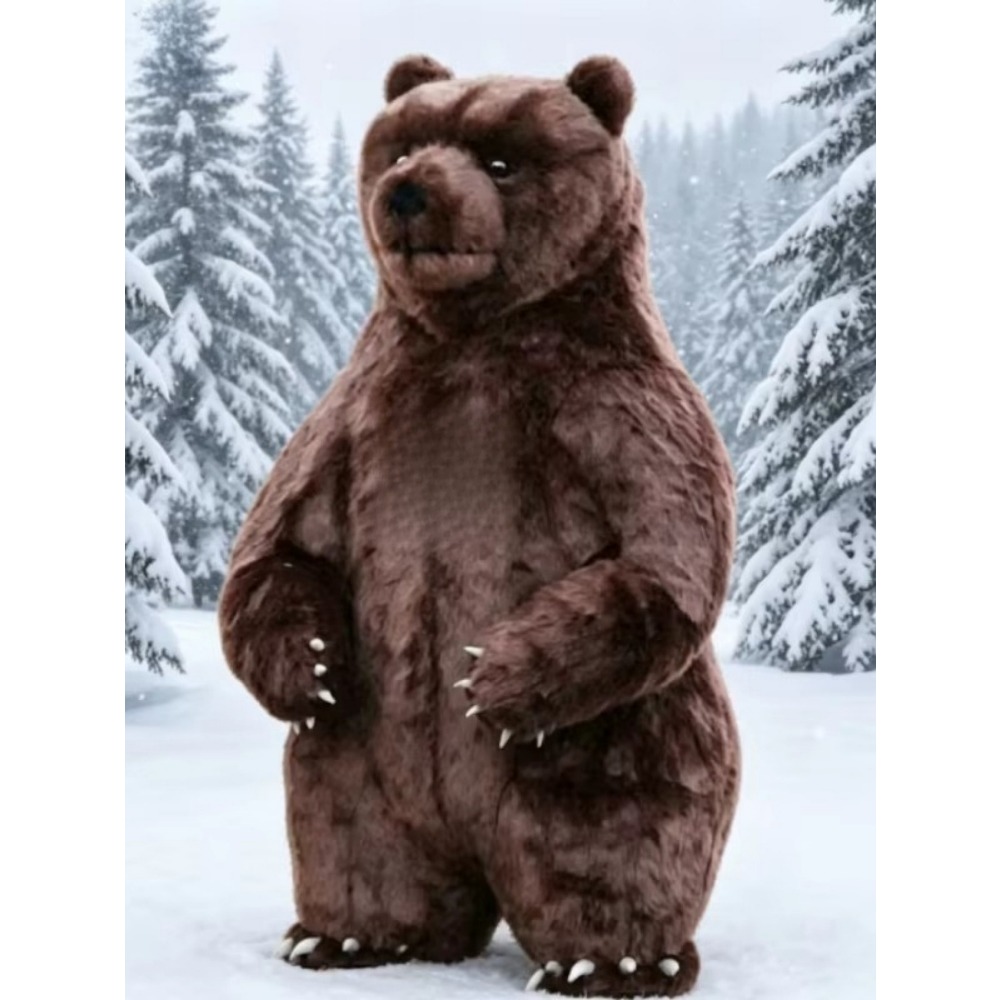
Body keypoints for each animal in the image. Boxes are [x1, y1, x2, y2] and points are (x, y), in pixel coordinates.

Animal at [219, 54, 740, 998]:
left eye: (502, 161)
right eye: (407, 143)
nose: (408, 192)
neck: (472, 335)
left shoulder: (620, 407)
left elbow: (663, 557)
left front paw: (489, 674)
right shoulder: (354, 419)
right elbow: (278, 543)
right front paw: (311, 665)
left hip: (611, 748)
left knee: (611, 847)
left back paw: (610, 960)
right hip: (360, 763)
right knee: (354, 840)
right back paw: (348, 937)